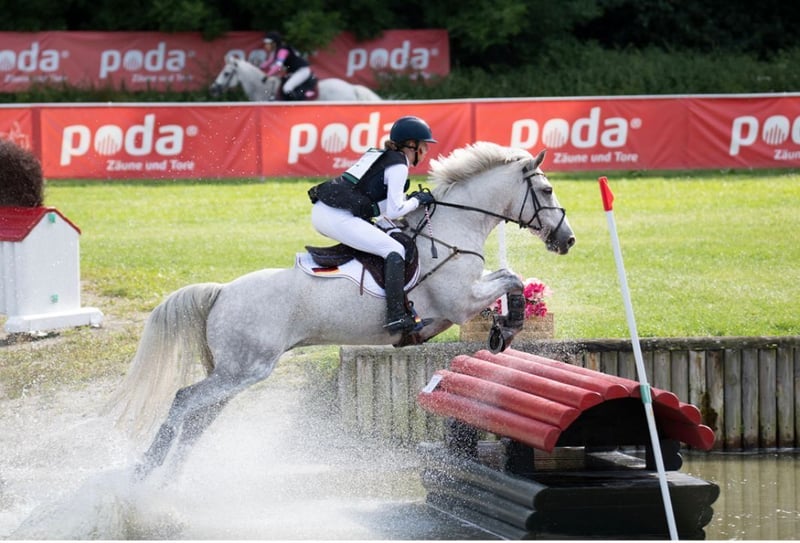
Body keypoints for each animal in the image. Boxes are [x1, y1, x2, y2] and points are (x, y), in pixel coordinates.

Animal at [107, 141, 575, 479]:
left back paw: (167, 479)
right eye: (547, 190)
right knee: (184, 400)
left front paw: (504, 326)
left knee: (199, 414)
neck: (451, 227)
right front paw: (508, 326)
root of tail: (221, 292)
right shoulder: (459, 303)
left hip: (233, 373)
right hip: (245, 369)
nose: (567, 240)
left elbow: (509, 275)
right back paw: (146, 469)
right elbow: (511, 278)